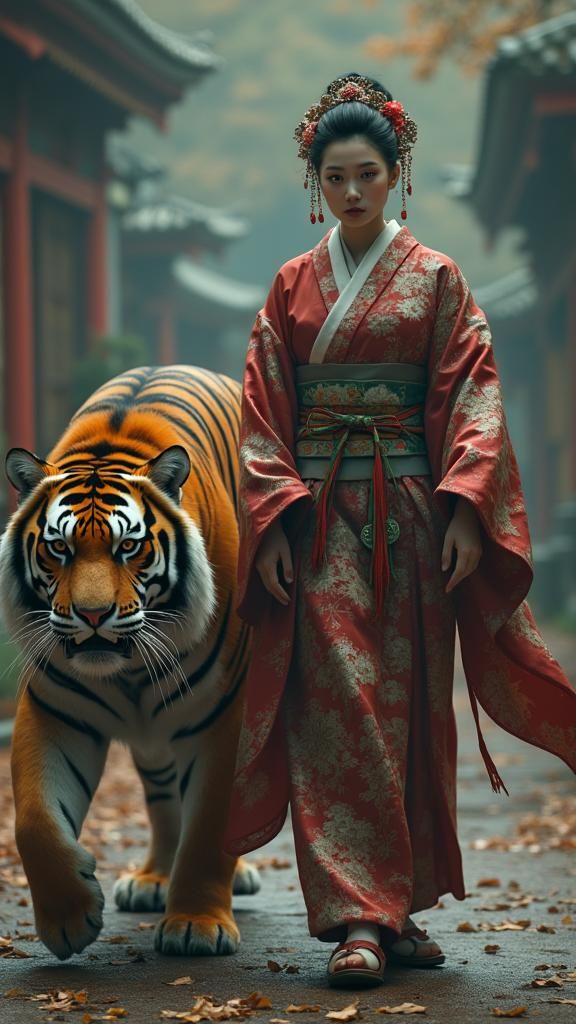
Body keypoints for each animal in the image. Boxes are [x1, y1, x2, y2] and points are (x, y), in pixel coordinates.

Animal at [0, 365, 260, 961]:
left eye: (128, 548)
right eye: (59, 548)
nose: (93, 614)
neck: (128, 671)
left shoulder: (223, 717)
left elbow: (210, 825)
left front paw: (196, 925)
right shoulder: (54, 711)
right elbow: (36, 820)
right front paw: (68, 919)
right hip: (154, 743)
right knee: (164, 803)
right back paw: (152, 880)